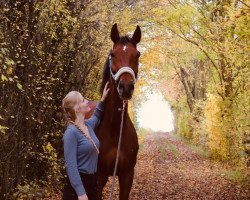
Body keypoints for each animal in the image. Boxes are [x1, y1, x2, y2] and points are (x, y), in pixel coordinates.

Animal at [95, 23, 141, 200]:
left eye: (138, 55)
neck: (114, 130)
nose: (126, 87)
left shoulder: (127, 175)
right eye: (113, 54)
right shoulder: (98, 176)